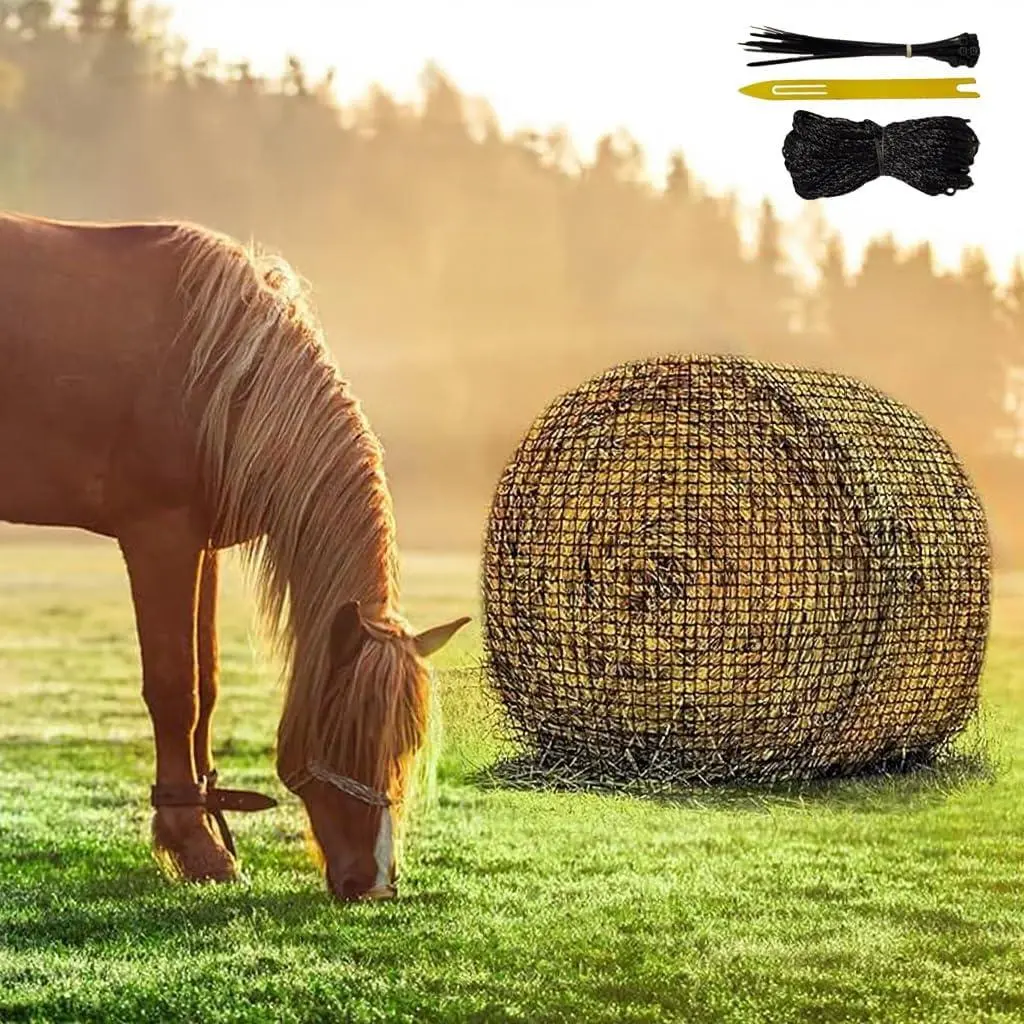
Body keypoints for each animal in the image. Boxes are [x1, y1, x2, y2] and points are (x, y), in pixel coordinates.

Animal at [0, 212, 470, 901]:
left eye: (407, 742)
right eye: (349, 732)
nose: (375, 882)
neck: (221, 373)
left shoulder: (202, 547)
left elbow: (209, 685)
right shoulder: (160, 535)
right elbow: (177, 689)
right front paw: (196, 846)